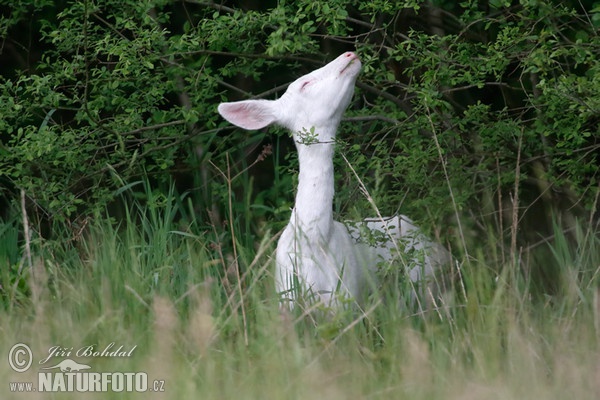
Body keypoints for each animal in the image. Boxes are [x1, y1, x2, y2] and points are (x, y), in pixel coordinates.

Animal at [218, 52, 448, 310]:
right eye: (305, 83)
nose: (350, 54)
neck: (314, 243)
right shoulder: (286, 300)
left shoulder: (346, 300)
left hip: (424, 284)